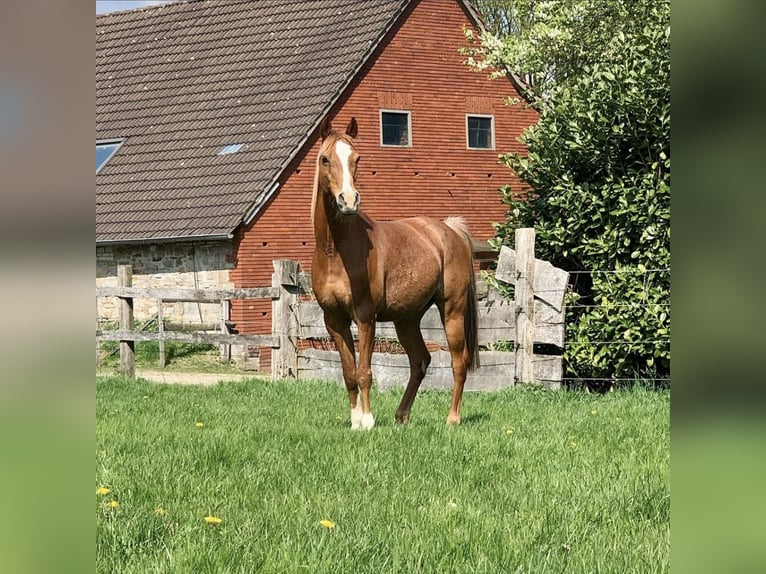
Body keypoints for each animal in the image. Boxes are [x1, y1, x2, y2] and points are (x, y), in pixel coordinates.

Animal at [312, 118, 480, 432]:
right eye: (325, 159)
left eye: (357, 159)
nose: (348, 201)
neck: (335, 252)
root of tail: (449, 230)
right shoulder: (334, 321)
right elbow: (348, 372)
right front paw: (355, 421)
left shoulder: (365, 317)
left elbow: (364, 371)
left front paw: (367, 421)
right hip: (407, 319)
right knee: (420, 361)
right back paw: (402, 415)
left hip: (452, 311)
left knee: (458, 361)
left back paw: (452, 418)